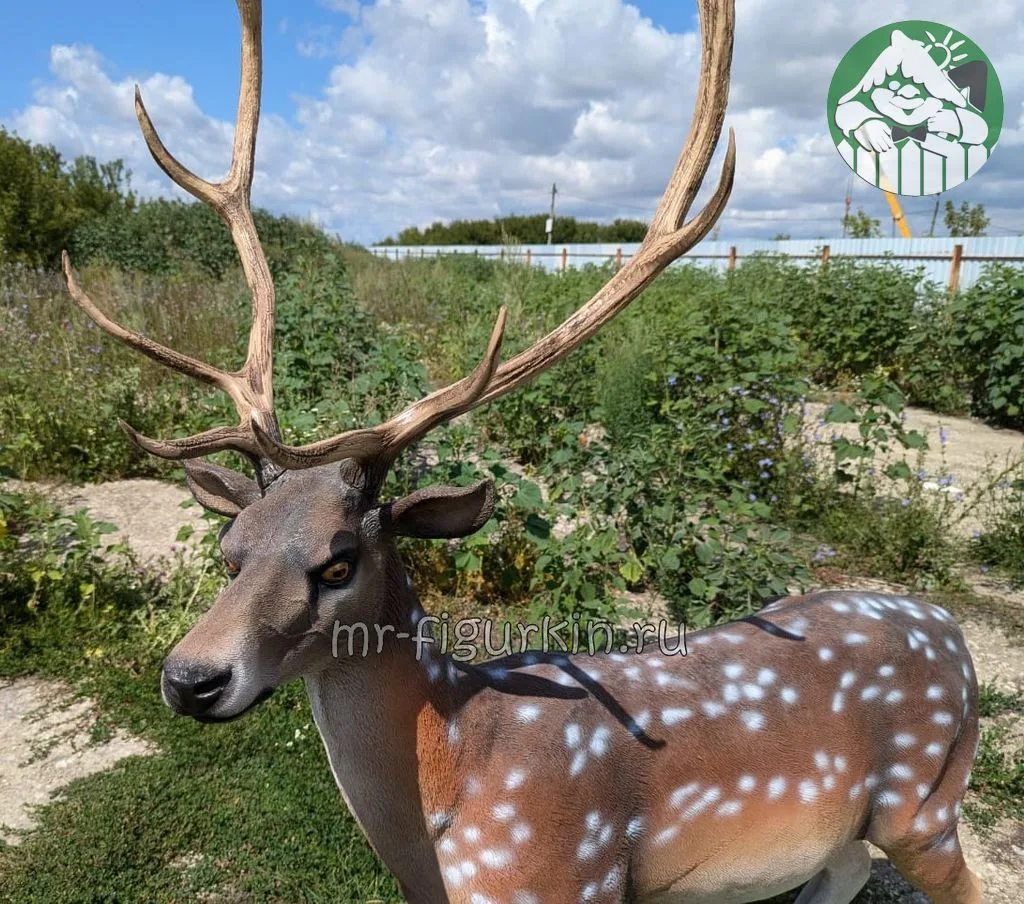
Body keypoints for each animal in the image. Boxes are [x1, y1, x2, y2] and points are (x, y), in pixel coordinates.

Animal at [58, 1, 984, 902]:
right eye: (229, 550)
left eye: (339, 559)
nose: (191, 679)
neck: (456, 789)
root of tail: (956, 635)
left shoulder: (567, 875)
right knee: (845, 869)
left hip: (926, 799)